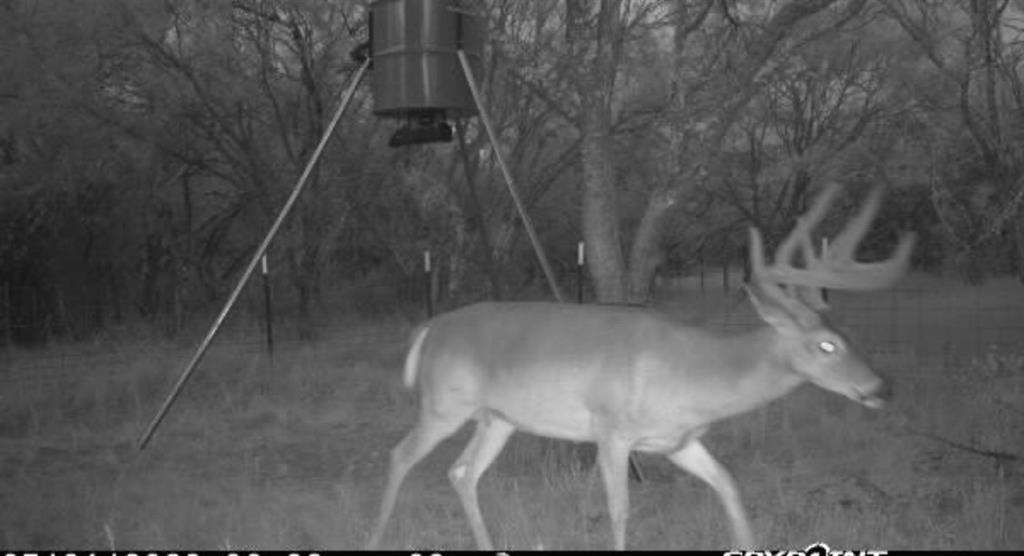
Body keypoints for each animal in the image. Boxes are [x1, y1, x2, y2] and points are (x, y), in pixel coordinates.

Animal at [366, 182, 916, 550]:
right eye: (826, 345)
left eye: (849, 335)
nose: (881, 388)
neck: (694, 374)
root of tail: (430, 328)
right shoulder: (612, 431)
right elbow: (619, 510)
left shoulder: (680, 442)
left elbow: (730, 487)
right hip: (444, 403)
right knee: (399, 455)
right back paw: (373, 538)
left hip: (497, 418)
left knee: (462, 472)